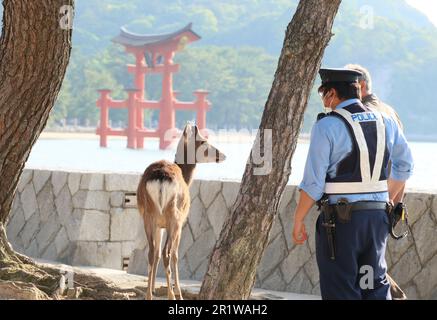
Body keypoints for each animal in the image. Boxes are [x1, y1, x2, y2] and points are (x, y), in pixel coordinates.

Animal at [135, 123, 225, 300]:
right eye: (204, 141)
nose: (223, 155)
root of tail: (161, 177)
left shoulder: (159, 225)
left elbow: (156, 253)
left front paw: (153, 289)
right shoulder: (182, 223)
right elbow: (176, 255)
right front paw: (177, 291)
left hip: (148, 216)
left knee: (152, 252)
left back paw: (148, 295)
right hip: (174, 217)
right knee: (167, 253)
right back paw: (173, 295)